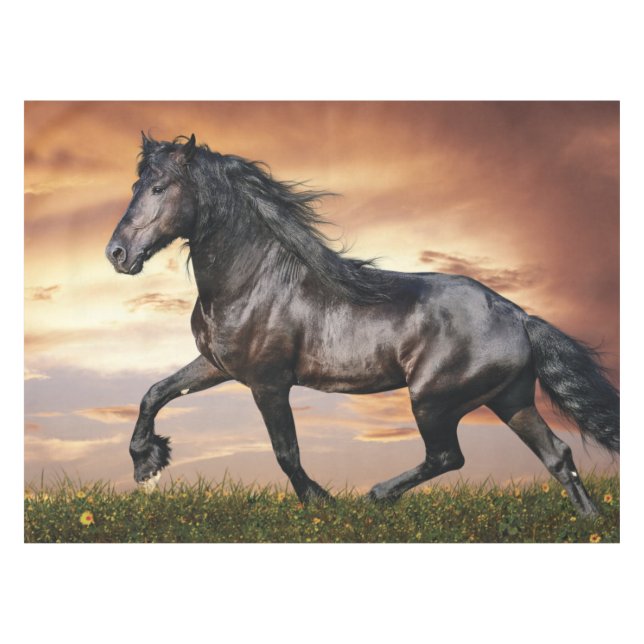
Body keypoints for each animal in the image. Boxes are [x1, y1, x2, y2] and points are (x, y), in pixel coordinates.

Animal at [106, 133, 619, 516]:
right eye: (134, 187)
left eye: (159, 188)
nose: (117, 254)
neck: (253, 280)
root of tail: (518, 315)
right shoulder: (218, 366)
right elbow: (155, 393)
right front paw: (147, 464)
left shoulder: (268, 382)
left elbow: (286, 452)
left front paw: (322, 503)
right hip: (509, 399)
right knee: (558, 456)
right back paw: (588, 522)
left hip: (433, 400)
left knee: (448, 456)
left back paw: (375, 496)